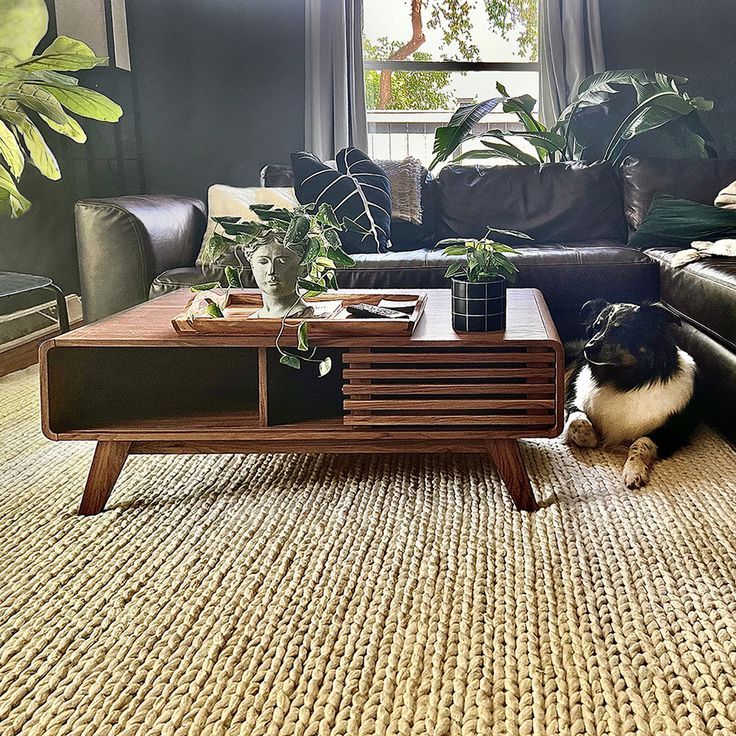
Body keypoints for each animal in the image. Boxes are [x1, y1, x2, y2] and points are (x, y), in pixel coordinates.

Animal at [564, 300, 696, 488]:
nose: (588, 348)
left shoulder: (670, 431)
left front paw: (634, 471)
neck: (622, 381)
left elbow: (640, 443)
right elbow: (577, 420)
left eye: (622, 331)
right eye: (597, 326)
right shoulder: (573, 398)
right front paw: (588, 437)